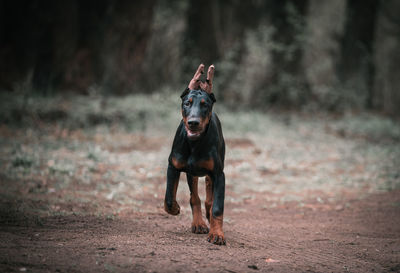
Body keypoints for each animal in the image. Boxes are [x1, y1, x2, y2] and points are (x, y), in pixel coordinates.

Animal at [162, 63, 225, 244]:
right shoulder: (173, 166)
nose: (193, 123)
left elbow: (217, 207)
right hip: (192, 173)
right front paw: (175, 208)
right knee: (194, 197)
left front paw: (217, 234)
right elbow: (169, 196)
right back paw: (198, 223)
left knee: (209, 195)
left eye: (205, 104)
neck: (194, 143)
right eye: (187, 103)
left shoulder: (219, 174)